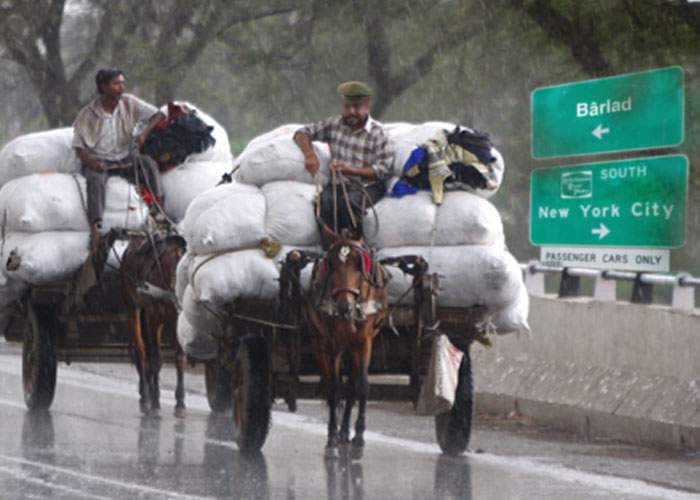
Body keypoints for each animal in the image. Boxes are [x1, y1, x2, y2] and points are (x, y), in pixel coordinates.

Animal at [119, 230, 189, 414]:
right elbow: (156, 358)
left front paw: (180, 401)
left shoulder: (176, 320)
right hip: (133, 307)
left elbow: (180, 359)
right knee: (142, 350)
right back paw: (145, 395)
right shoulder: (154, 318)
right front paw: (156, 401)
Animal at [302, 229, 386, 458]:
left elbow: (361, 385)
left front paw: (359, 436)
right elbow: (333, 388)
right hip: (322, 342)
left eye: (359, 263)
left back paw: (346, 431)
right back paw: (338, 430)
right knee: (335, 383)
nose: (344, 307)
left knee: (351, 386)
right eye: (331, 264)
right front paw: (332, 435)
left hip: (352, 347)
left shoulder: (364, 341)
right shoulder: (330, 344)